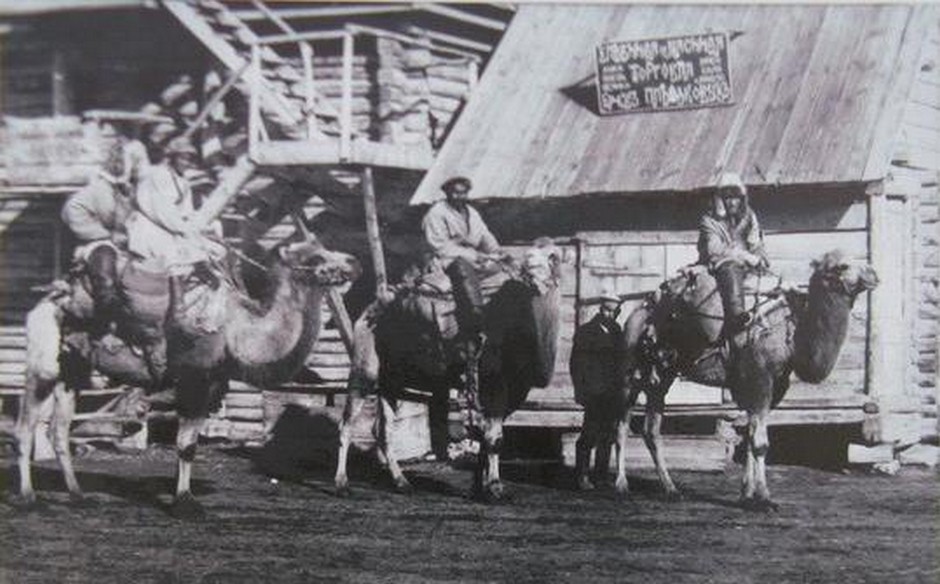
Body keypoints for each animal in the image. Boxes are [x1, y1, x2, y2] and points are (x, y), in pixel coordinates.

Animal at [334, 240, 560, 500]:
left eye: (549, 260)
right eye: (529, 261)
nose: (532, 275)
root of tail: (369, 309)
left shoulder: (515, 390)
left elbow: (487, 439)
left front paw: (479, 488)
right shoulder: (494, 382)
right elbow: (494, 439)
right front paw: (495, 488)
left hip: (391, 380)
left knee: (383, 431)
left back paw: (402, 482)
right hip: (365, 366)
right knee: (347, 423)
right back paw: (342, 484)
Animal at [612, 251, 876, 512]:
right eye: (842, 266)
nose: (873, 274)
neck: (791, 332)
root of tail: (640, 311)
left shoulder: (771, 387)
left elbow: (749, 437)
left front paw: (746, 495)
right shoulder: (760, 380)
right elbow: (760, 443)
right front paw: (765, 498)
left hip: (662, 375)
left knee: (651, 429)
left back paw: (671, 489)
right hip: (629, 371)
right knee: (622, 424)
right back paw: (621, 485)